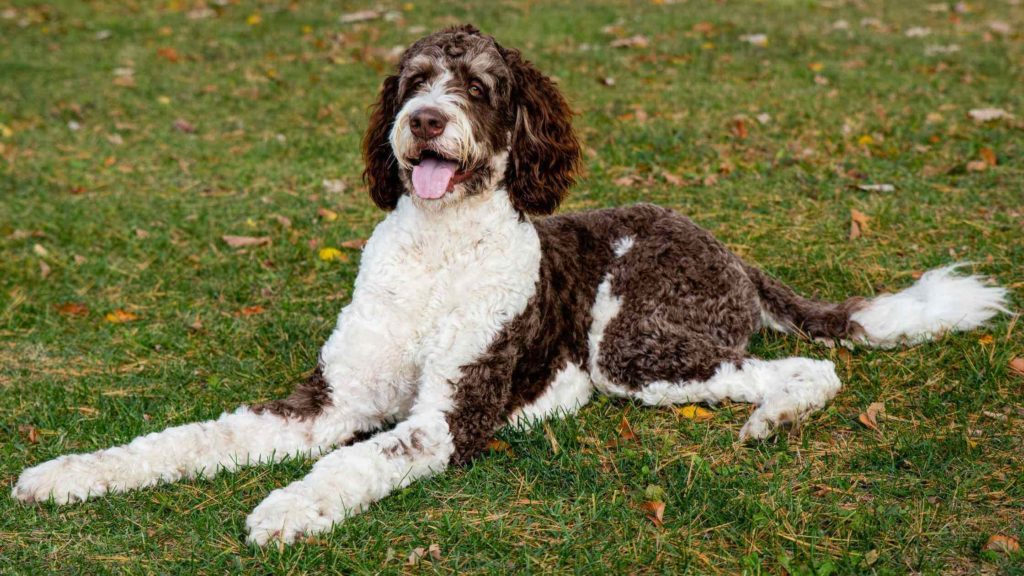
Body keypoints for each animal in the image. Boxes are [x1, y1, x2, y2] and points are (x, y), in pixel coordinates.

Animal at [14, 23, 1007, 541]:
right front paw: (74, 473)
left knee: (803, 369)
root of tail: (724, 247)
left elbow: (358, 459)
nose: (422, 120)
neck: (434, 255)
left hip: (634, 348)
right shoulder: (326, 400)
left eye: (482, 88)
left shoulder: (447, 417)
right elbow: (187, 439)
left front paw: (291, 505)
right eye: (414, 79)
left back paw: (770, 419)